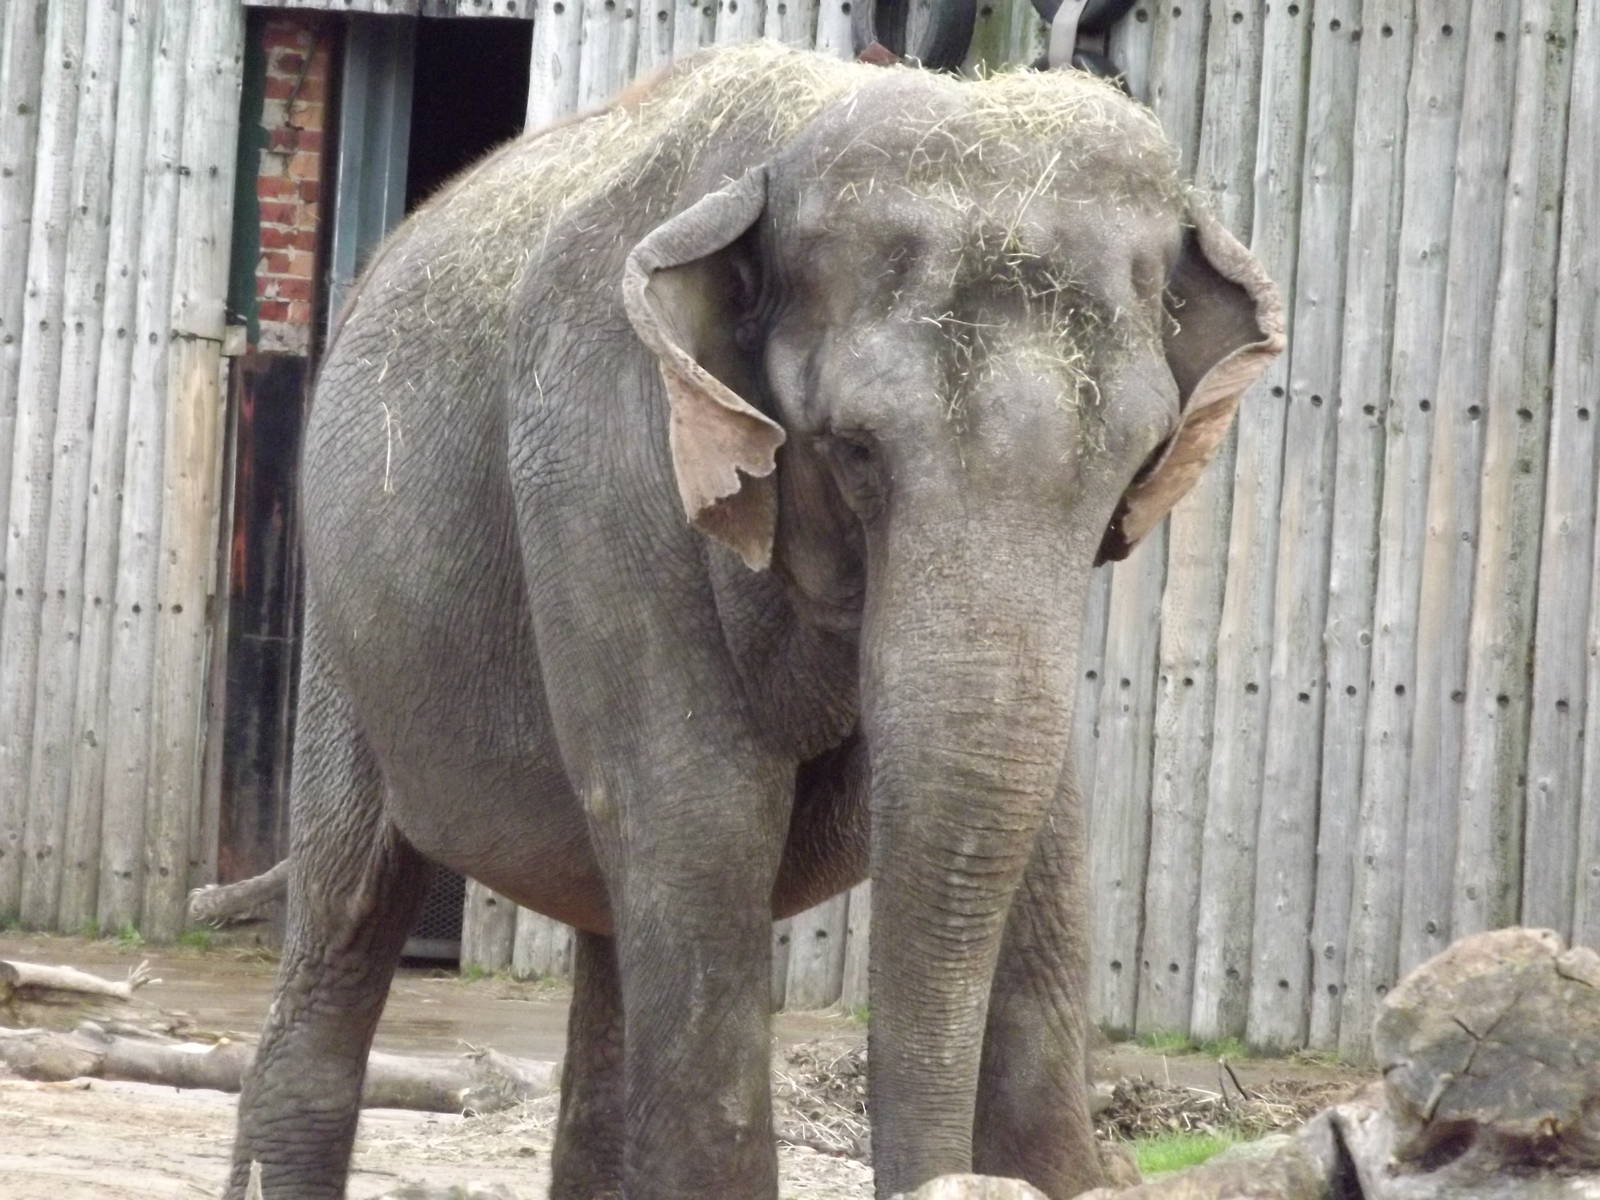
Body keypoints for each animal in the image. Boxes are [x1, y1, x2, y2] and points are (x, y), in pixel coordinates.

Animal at [225, 42, 1282, 1200]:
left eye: (1133, 464)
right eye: (855, 448)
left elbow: (1042, 828)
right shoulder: (600, 464)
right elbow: (708, 817)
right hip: (344, 627)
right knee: (350, 917)